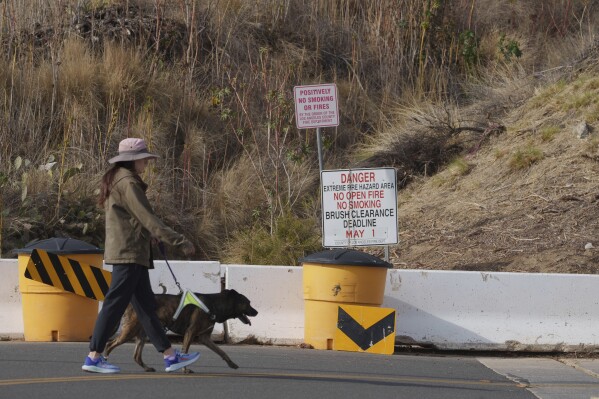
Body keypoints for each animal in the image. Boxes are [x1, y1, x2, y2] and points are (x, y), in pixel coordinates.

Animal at [104, 290, 258, 372]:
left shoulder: (204, 338)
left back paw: (147, 368)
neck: (214, 305)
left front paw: (231, 363)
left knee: (136, 355)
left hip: (143, 333)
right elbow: (185, 351)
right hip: (130, 330)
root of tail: (131, 303)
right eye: (248, 303)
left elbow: (221, 351)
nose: (256, 312)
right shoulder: (190, 333)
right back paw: (104, 362)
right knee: (110, 344)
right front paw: (184, 369)